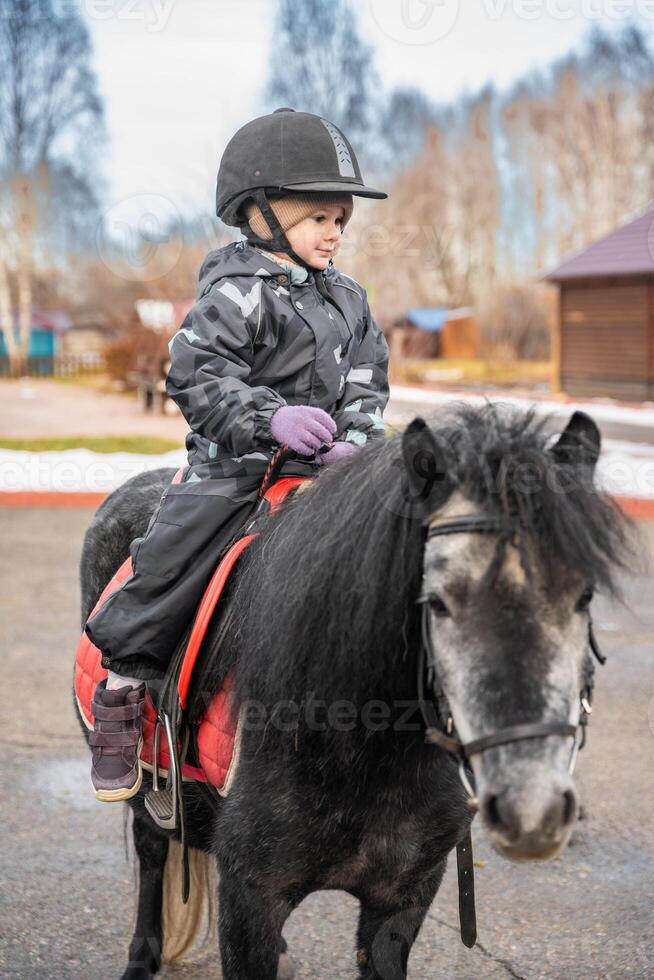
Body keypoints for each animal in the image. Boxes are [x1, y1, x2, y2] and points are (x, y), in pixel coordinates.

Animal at [74, 402, 632, 976]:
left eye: (583, 596)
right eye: (436, 602)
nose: (532, 809)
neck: (362, 746)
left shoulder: (403, 899)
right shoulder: (249, 899)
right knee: (152, 850)